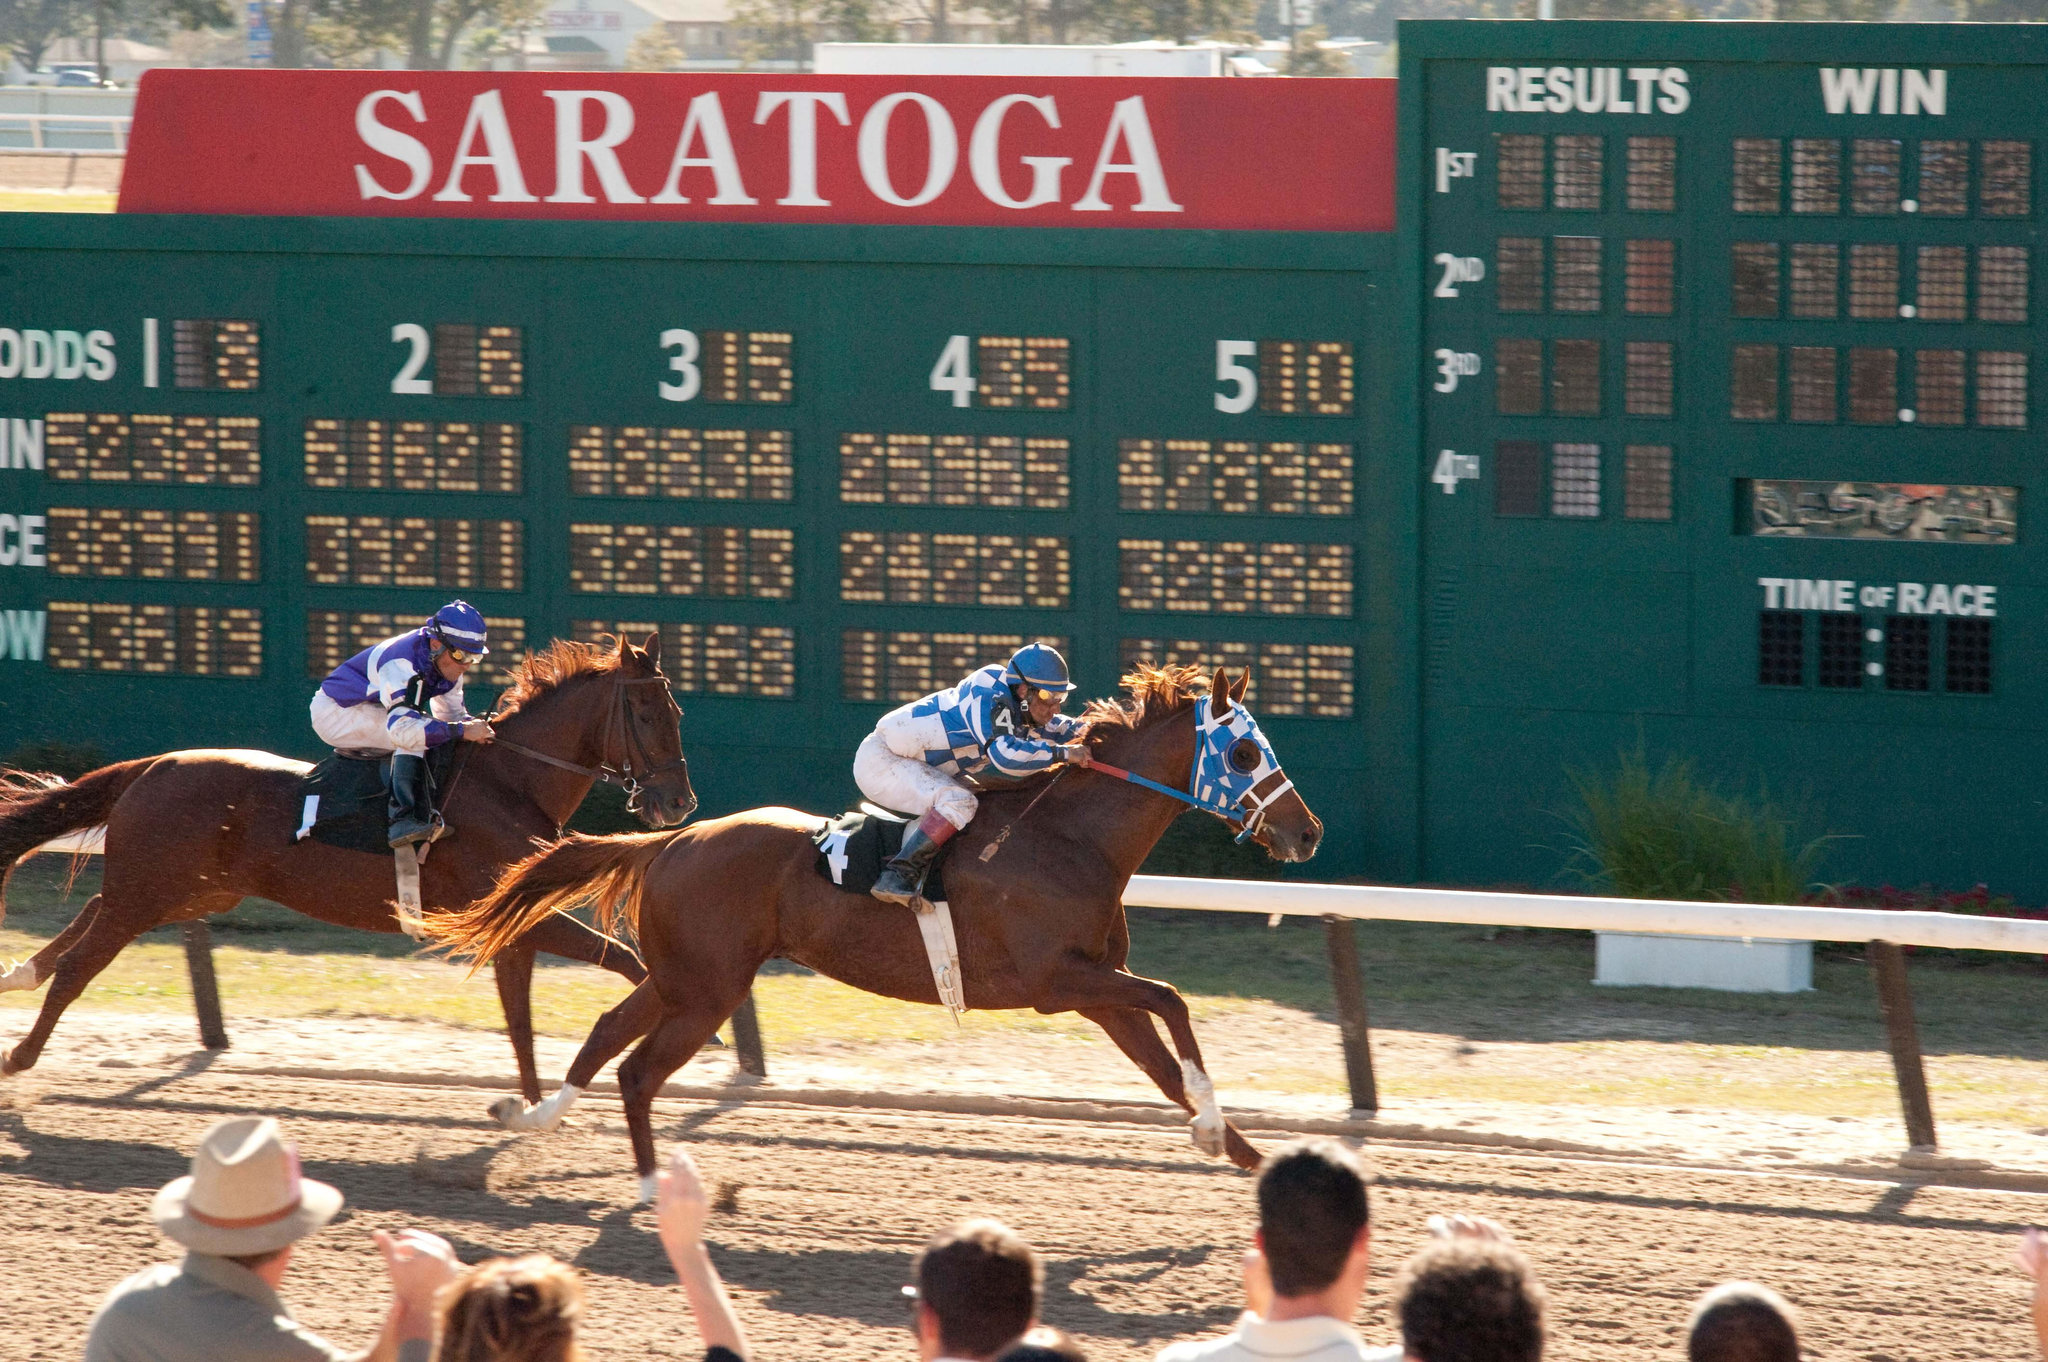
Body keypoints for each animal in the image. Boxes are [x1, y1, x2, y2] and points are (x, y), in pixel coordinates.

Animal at [0, 630, 696, 1097]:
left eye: (676, 712)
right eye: (645, 713)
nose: (678, 803)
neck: (511, 782)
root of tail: (152, 765)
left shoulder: (512, 922)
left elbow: (523, 1018)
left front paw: (526, 1109)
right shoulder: (513, 913)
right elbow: (625, 960)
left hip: (193, 890)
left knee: (93, 909)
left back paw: (22, 972)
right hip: (153, 888)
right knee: (82, 964)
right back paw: (22, 1055)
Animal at [434, 663, 1327, 1196]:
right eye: (1244, 753)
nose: (1307, 832)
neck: (1070, 838)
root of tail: (671, 840)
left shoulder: (1097, 995)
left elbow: (1165, 1067)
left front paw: (1251, 1157)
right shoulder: (1060, 982)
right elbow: (1174, 1001)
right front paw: (1220, 1131)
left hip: (685, 977)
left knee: (607, 1032)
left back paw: (538, 1117)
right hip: (707, 988)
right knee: (638, 1070)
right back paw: (655, 1190)